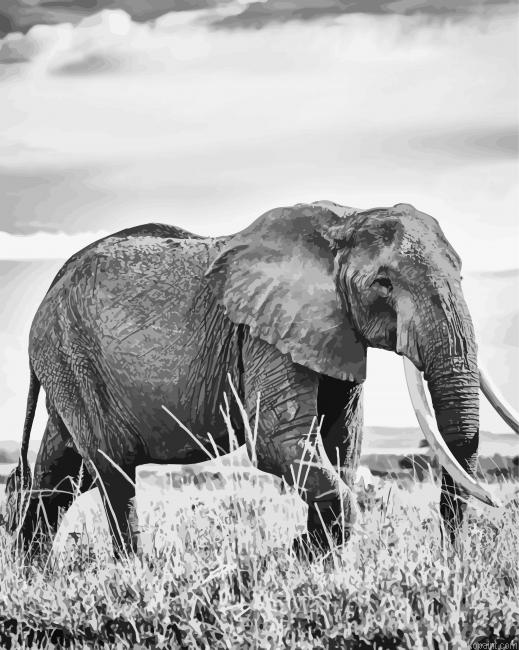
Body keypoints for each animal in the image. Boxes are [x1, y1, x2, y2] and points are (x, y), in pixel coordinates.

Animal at [5, 200, 518, 557]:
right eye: (384, 284)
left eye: (462, 275)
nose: (450, 555)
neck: (345, 221)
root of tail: (51, 284)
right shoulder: (263, 332)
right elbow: (278, 441)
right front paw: (301, 552)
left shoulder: (336, 333)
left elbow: (343, 443)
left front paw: (313, 557)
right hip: (71, 354)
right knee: (111, 468)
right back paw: (133, 573)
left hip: (67, 365)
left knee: (63, 472)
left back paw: (33, 573)